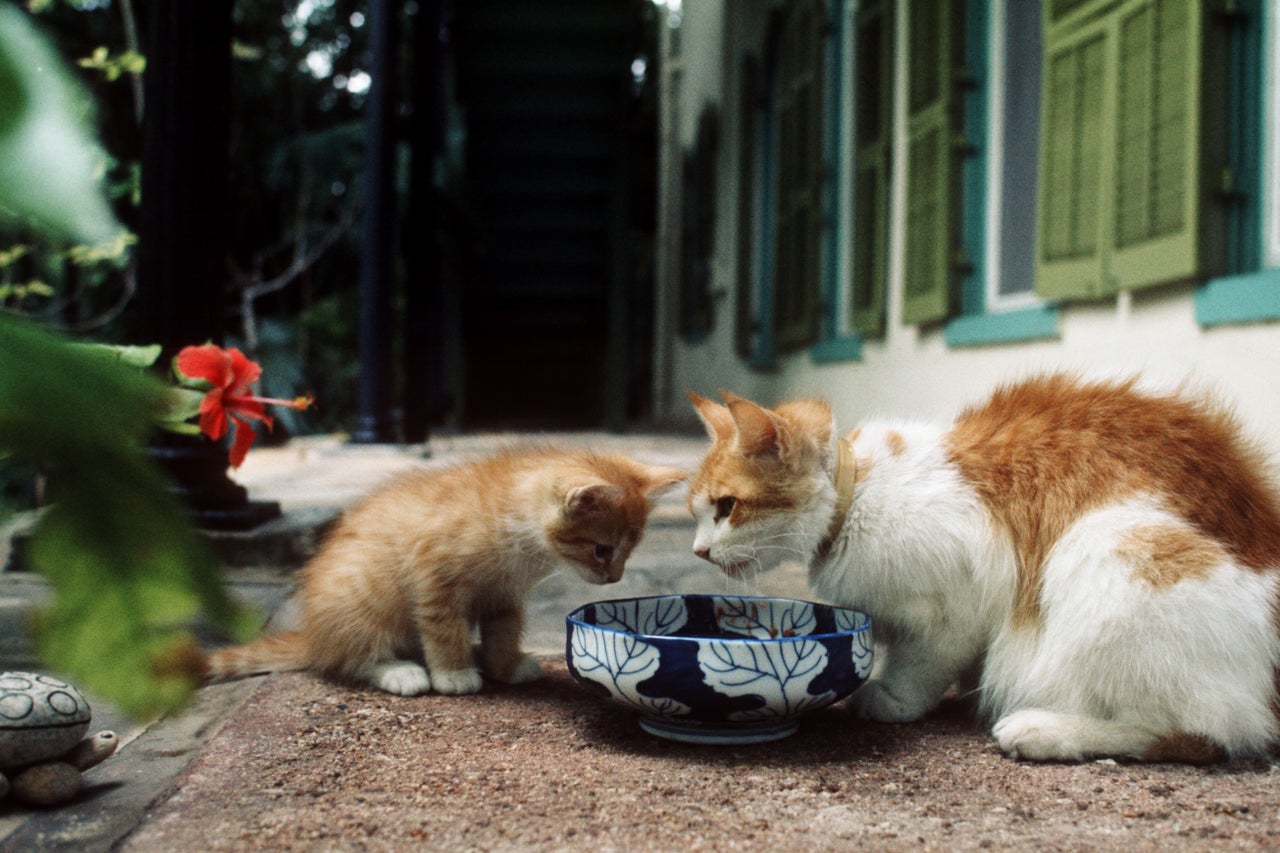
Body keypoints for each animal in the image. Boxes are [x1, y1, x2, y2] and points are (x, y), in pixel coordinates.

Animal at [204, 445, 686, 691]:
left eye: (629, 550)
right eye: (603, 550)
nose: (614, 578)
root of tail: (313, 635)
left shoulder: (503, 594)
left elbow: (503, 629)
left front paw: (504, 664)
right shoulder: (434, 575)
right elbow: (442, 626)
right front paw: (454, 673)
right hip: (361, 598)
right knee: (348, 657)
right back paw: (399, 671)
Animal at [686, 376, 1280, 758]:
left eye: (727, 507)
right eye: (695, 511)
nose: (697, 551)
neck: (860, 493)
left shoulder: (954, 608)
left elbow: (922, 664)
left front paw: (891, 698)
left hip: (1112, 548)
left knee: (1204, 732)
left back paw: (1042, 731)